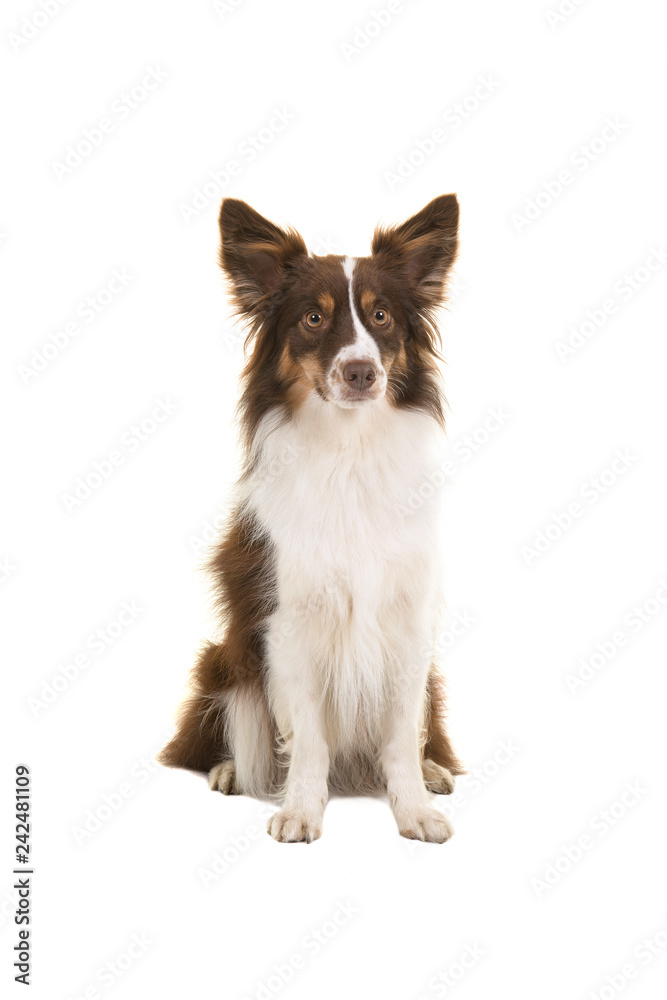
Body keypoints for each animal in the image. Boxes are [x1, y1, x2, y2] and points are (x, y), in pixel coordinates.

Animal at [160, 191, 464, 840]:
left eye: (381, 317)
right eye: (313, 320)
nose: (360, 372)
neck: (349, 451)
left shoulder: (409, 621)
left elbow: (400, 736)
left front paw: (414, 808)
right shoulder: (290, 622)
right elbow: (308, 739)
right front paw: (300, 809)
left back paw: (434, 770)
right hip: (223, 662)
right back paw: (228, 770)